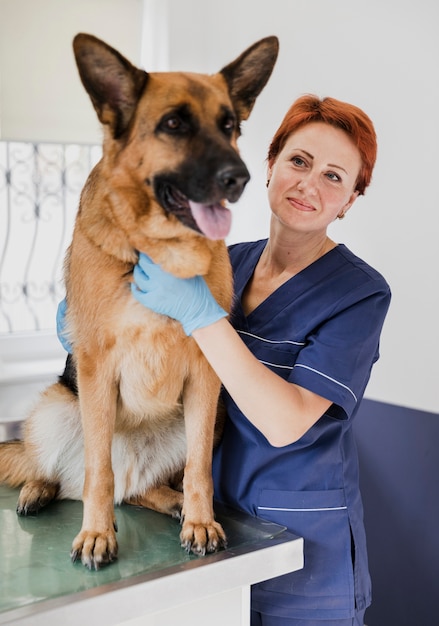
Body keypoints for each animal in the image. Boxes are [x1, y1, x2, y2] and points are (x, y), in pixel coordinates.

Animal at [0, 35, 278, 572]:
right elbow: (97, 473)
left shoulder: (207, 377)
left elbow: (198, 470)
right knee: (65, 469)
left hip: (210, 415)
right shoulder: (95, 367)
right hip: (60, 407)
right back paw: (39, 489)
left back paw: (172, 502)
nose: (241, 179)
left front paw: (199, 520)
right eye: (174, 124)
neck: (158, 251)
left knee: (136, 488)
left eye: (229, 125)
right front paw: (95, 534)